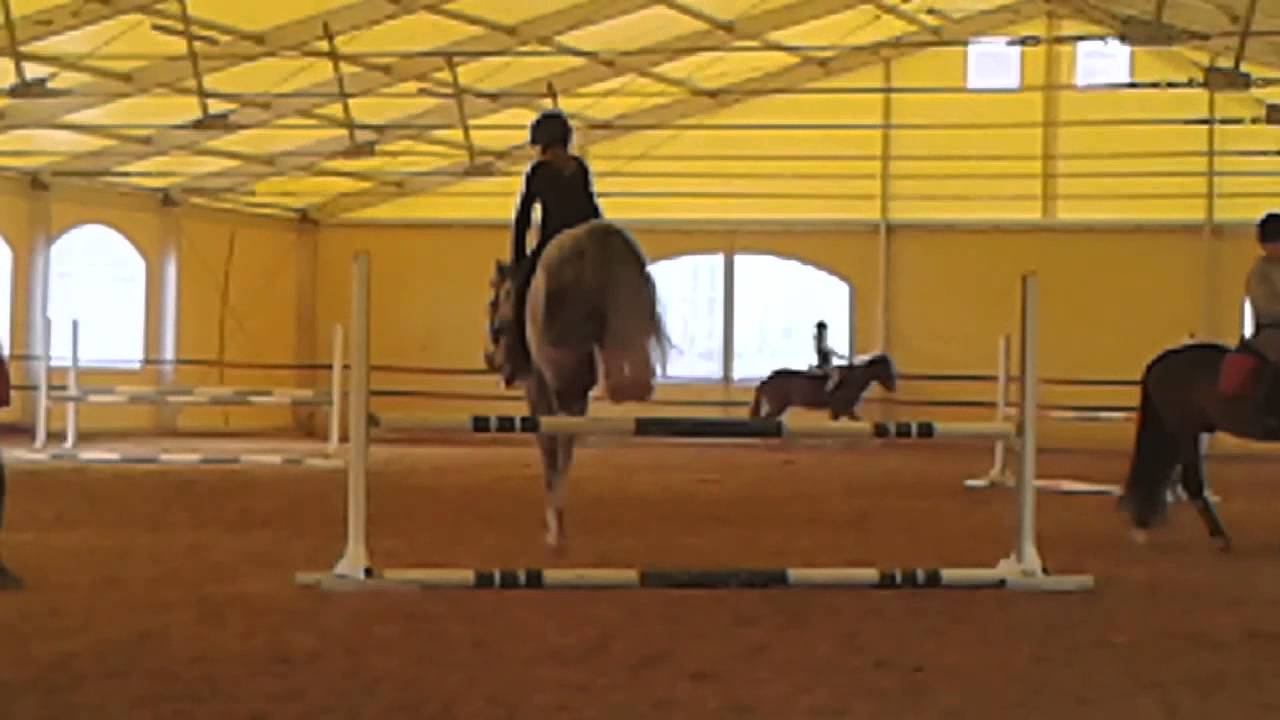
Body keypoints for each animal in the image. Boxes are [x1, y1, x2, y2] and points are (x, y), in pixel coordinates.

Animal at [485, 219, 670, 548]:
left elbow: (550, 445)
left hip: (562, 368)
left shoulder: (538, 388)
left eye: (494, 302)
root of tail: (593, 241)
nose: (494, 362)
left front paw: (553, 517)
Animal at [748, 354, 898, 420]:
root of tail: (767, 380)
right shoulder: (842, 409)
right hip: (777, 406)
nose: (893, 388)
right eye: (886, 369)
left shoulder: (844, 410)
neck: (852, 379)